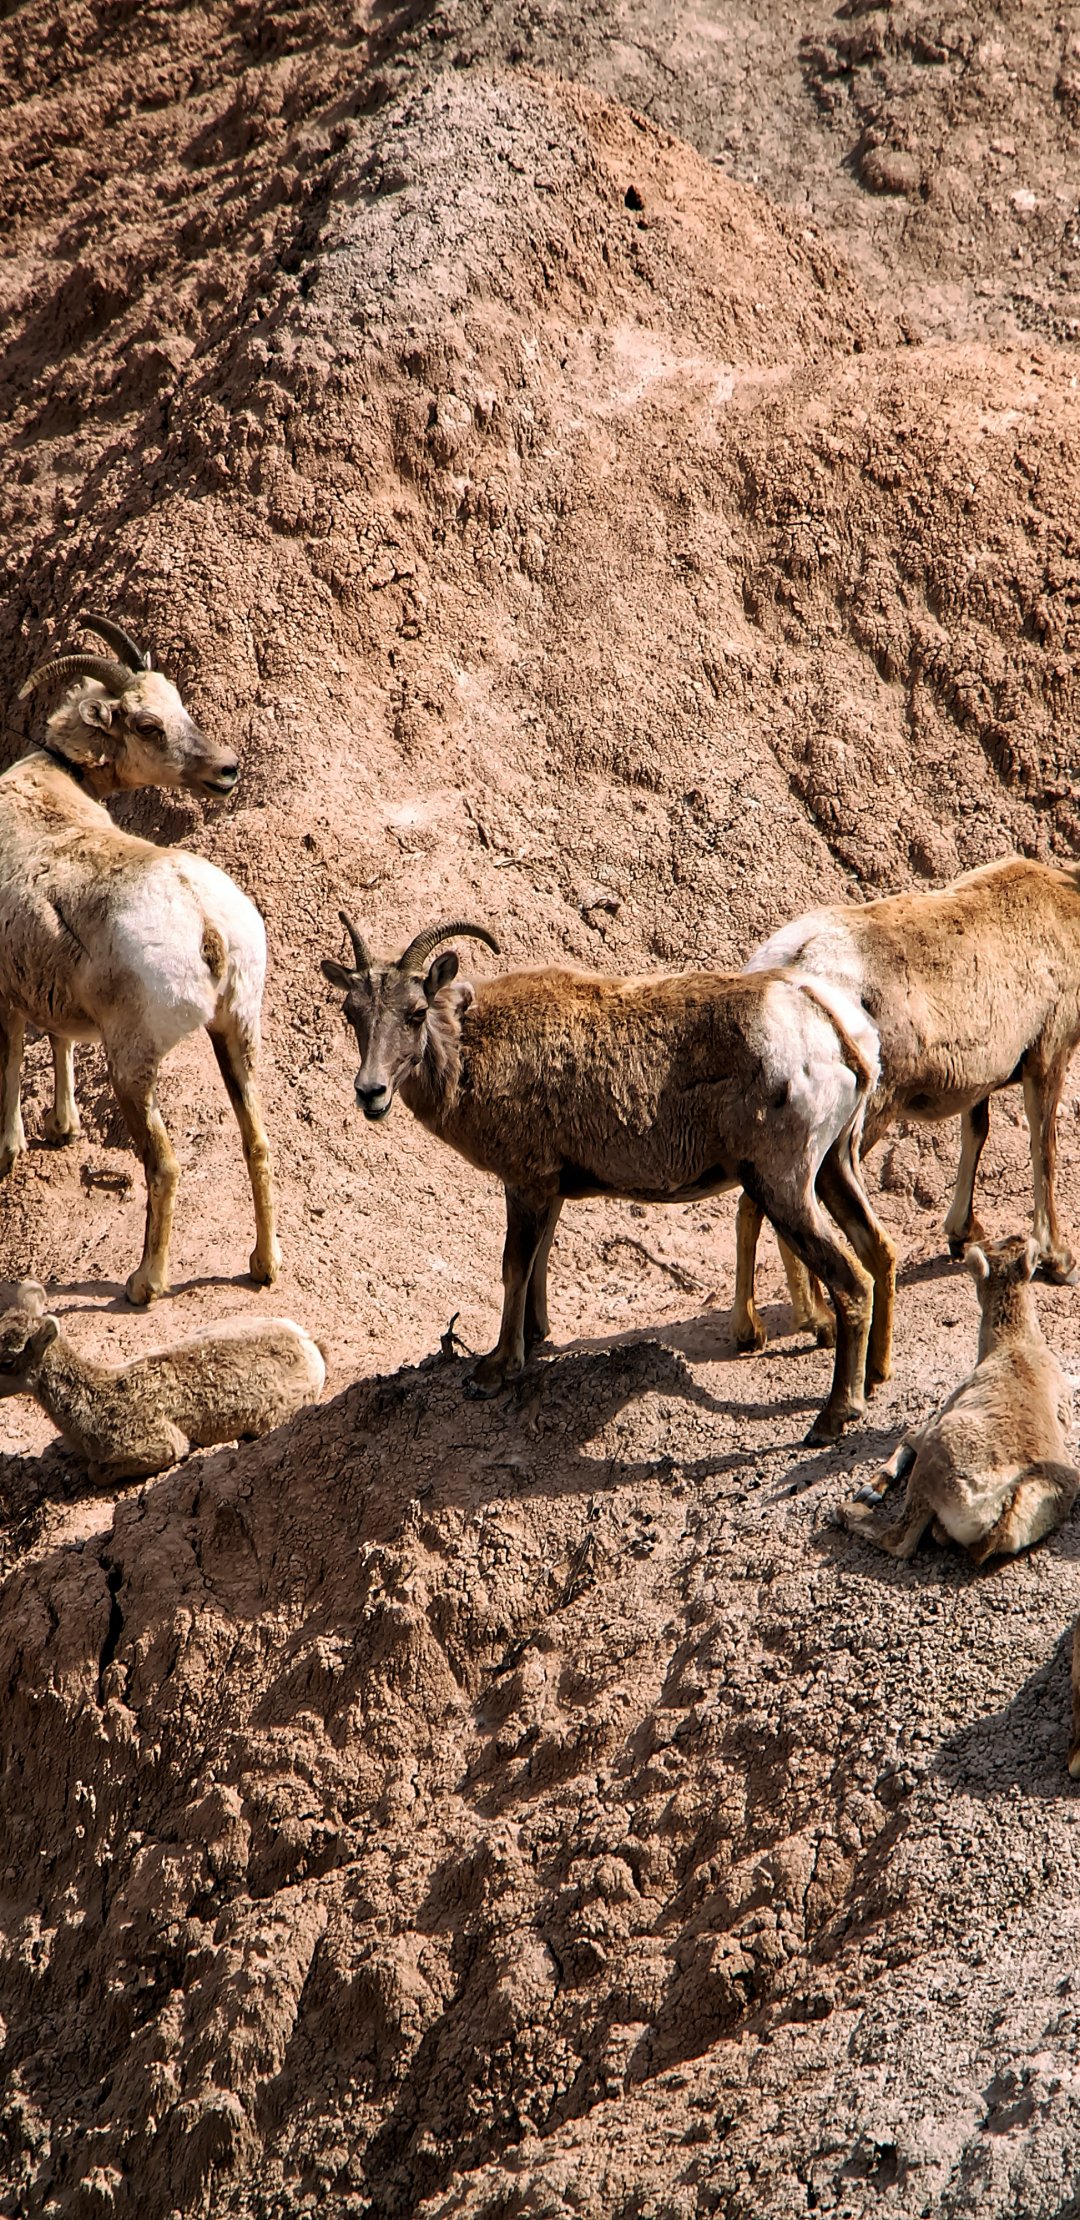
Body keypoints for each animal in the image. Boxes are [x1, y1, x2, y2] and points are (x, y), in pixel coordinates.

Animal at [2, 615, 280, 1304]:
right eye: (153, 723)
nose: (227, 770)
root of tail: (208, 923)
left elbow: (15, 1054)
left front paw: (11, 1148)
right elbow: (57, 1039)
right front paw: (62, 1127)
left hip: (134, 1062)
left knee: (165, 1163)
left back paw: (143, 1284)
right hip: (237, 1033)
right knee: (258, 1143)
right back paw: (263, 1266)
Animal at [320, 914, 896, 1444]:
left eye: (415, 1013)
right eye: (353, 1013)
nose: (370, 1092)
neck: (470, 1054)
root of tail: (840, 1039)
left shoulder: (526, 1182)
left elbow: (513, 1267)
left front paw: (495, 1370)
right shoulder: (549, 1189)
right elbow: (539, 1261)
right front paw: (536, 1337)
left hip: (783, 1183)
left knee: (851, 1281)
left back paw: (832, 1418)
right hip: (835, 1166)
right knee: (879, 1249)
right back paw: (873, 1379)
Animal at [733, 857, 1080, 1355]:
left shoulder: (982, 1079)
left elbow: (976, 1134)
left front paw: (963, 1234)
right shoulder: (1047, 1053)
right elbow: (1044, 1150)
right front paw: (1060, 1260)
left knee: (755, 1204)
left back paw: (752, 1328)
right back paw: (815, 1322)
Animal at [841, 1234, 1078, 1562]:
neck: (1014, 1347)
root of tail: (1007, 1502)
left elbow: (909, 1436)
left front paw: (870, 1489)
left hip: (934, 1457)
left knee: (901, 1539)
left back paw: (846, 1511)